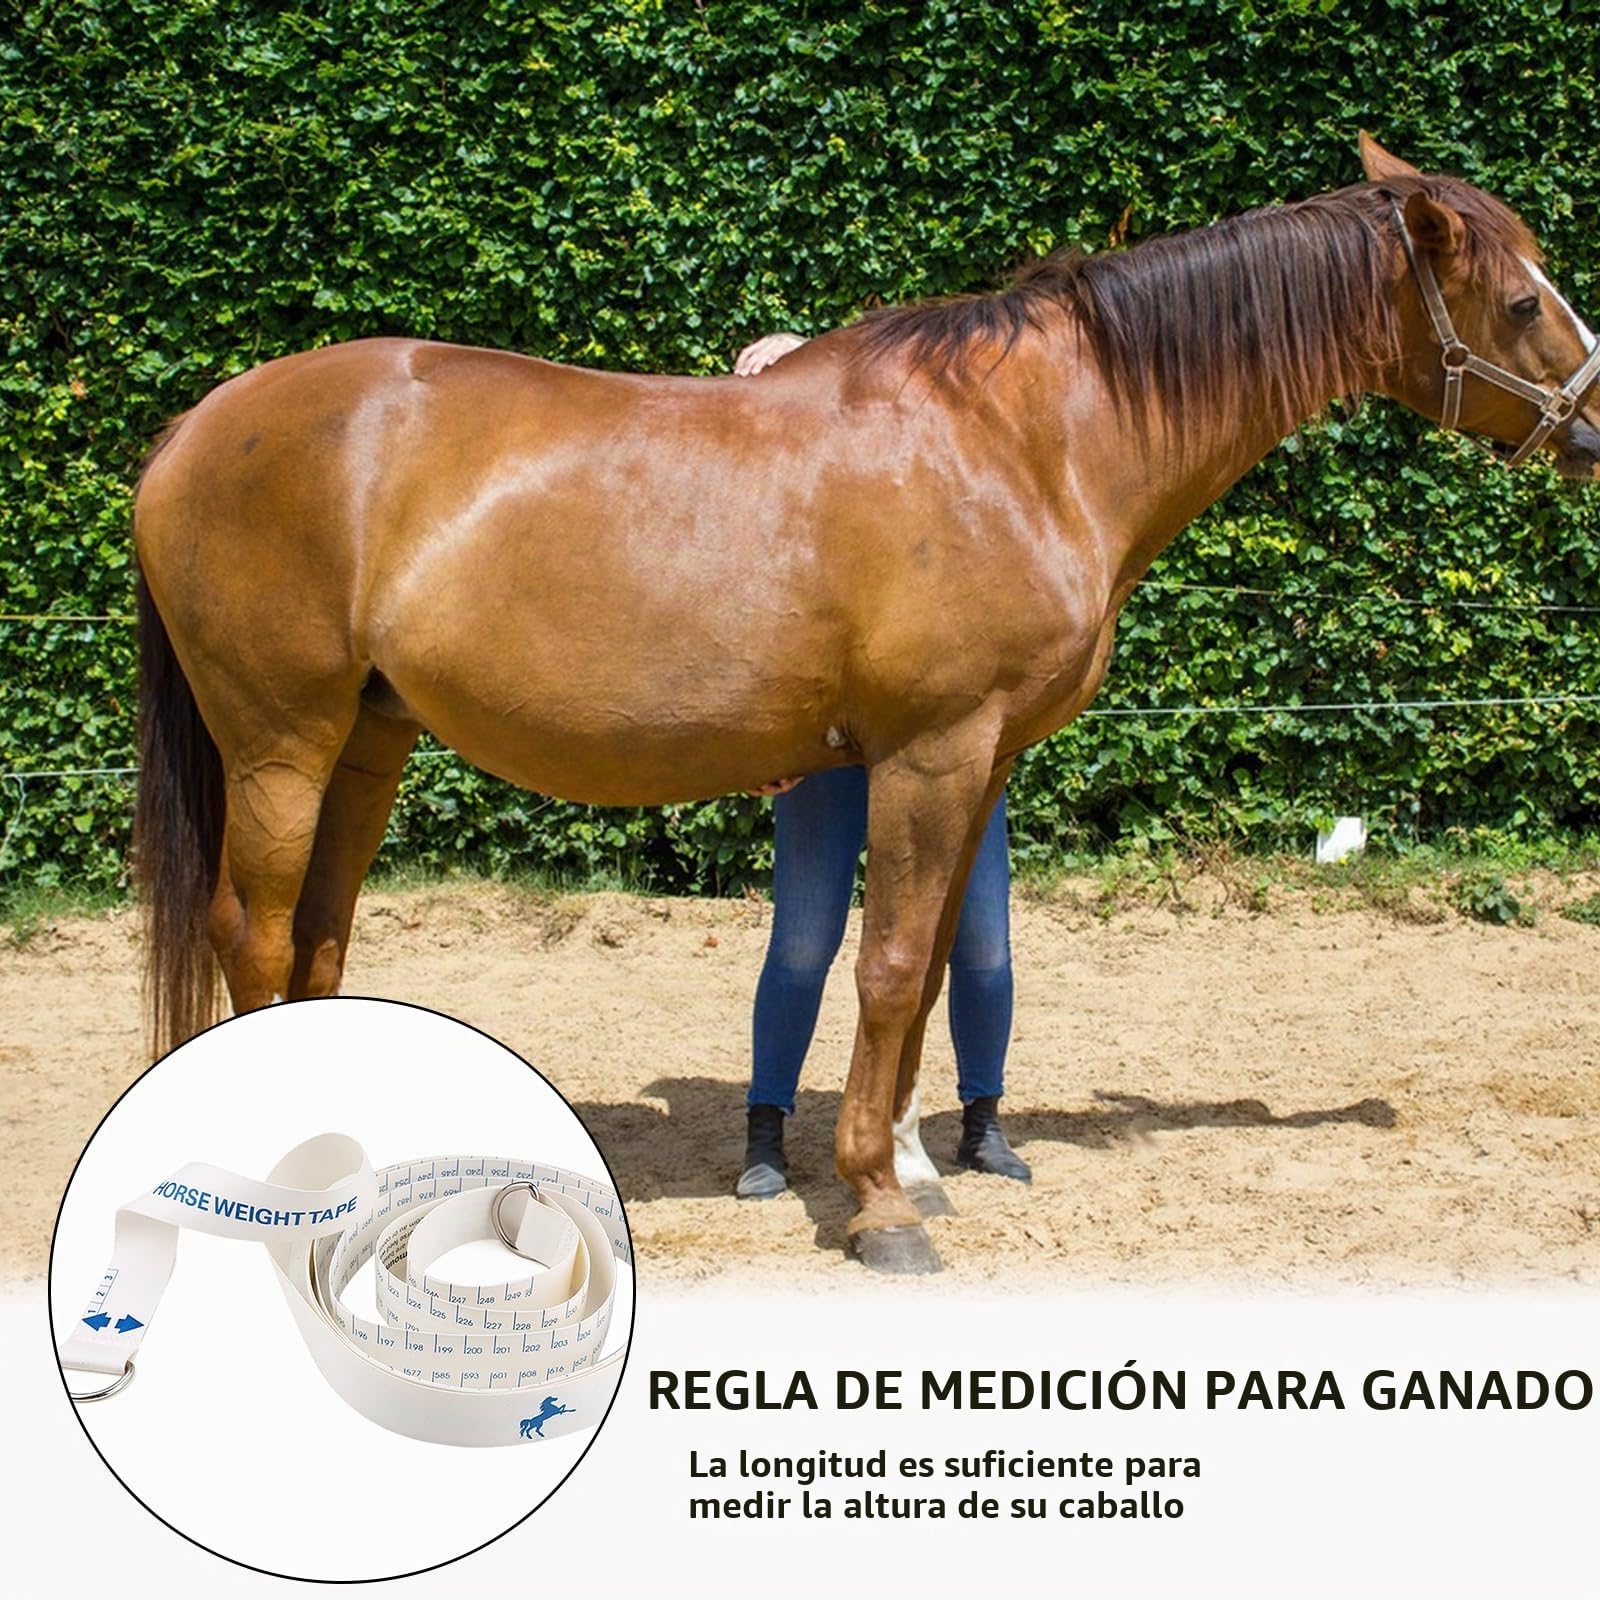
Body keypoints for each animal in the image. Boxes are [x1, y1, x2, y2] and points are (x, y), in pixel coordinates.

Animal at [132, 134, 1600, 1273]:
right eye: (1523, 301)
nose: (1592, 427)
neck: (1029, 441)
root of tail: (192, 431)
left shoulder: (982, 760)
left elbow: (939, 964)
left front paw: (908, 1170)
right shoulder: (932, 754)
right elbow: (888, 967)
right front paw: (882, 1207)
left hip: (367, 741)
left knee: (319, 946)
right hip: (281, 743)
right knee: (254, 935)